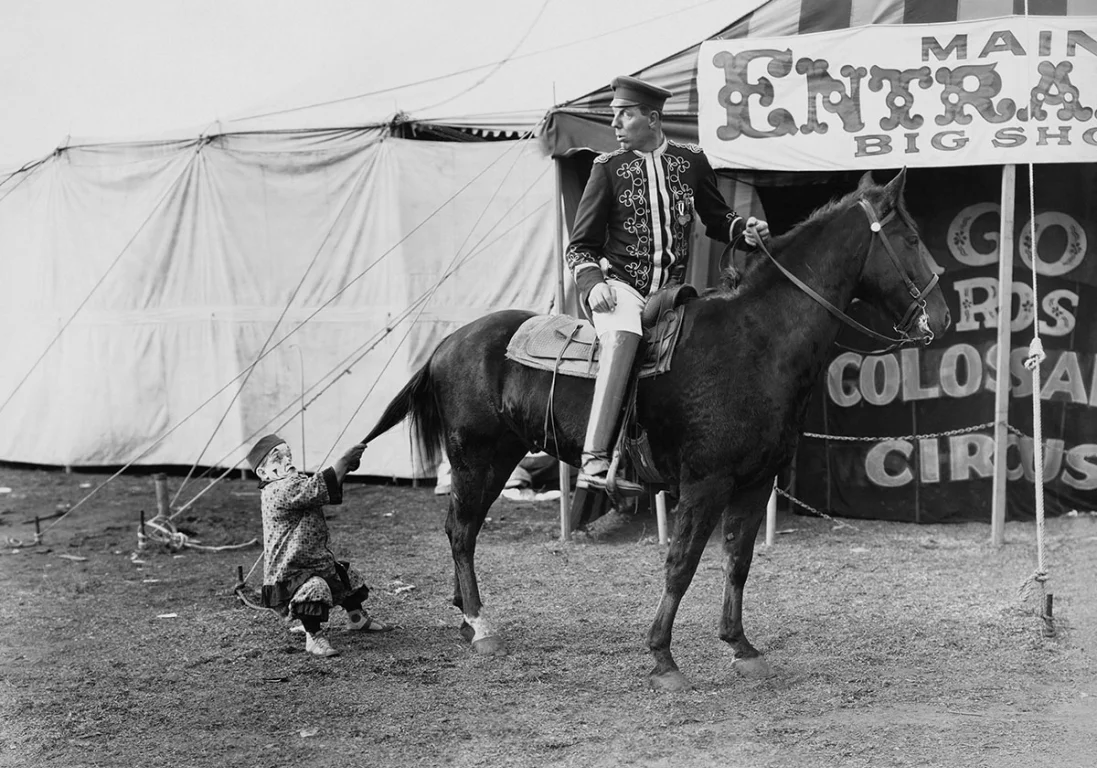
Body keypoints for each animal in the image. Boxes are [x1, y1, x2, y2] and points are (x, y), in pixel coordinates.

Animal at [362, 166, 952, 689]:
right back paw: (481, 625)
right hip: (474, 457)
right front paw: (662, 657)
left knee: (463, 529)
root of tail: (448, 342)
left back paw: (467, 619)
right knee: (462, 531)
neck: (756, 342)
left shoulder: (755, 483)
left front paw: (740, 646)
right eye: (911, 237)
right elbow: (682, 563)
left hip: (498, 457)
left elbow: (737, 561)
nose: (943, 318)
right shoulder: (704, 484)